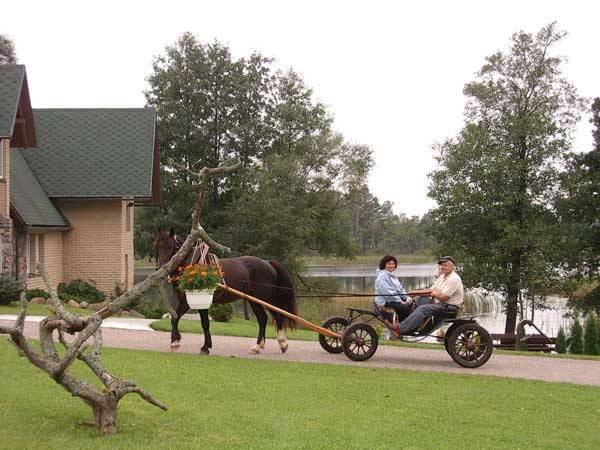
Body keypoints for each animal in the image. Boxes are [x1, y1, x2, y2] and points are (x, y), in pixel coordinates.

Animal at [152, 229, 298, 356]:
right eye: (156, 246)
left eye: (170, 246)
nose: (160, 267)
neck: (192, 266)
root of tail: (267, 263)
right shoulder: (186, 301)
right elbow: (175, 318)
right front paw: (175, 342)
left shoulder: (201, 302)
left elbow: (205, 324)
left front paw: (205, 347)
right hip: (253, 300)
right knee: (262, 319)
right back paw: (257, 346)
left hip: (266, 298)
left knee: (278, 316)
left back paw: (282, 343)